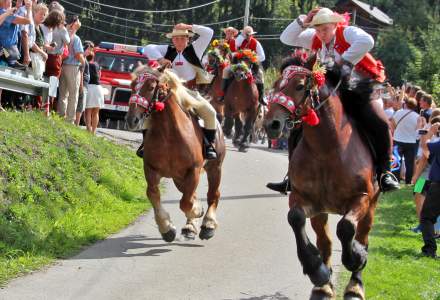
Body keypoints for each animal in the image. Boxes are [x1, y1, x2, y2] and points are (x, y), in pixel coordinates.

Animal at [125, 65, 225, 241]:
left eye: (151, 87)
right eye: (132, 85)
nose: (132, 120)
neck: (169, 134)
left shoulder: (194, 170)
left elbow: (186, 203)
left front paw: (197, 212)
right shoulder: (151, 169)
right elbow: (153, 194)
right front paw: (167, 228)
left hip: (215, 168)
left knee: (213, 194)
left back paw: (208, 225)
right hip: (179, 178)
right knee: (191, 194)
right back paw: (190, 227)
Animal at [262, 55, 380, 298]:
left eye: (299, 86)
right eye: (276, 84)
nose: (272, 124)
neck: (328, 149)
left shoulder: (362, 197)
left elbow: (346, 228)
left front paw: (356, 257)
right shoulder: (304, 198)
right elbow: (295, 218)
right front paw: (316, 270)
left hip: (371, 205)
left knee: (362, 235)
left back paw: (355, 285)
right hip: (322, 211)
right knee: (325, 241)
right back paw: (323, 286)